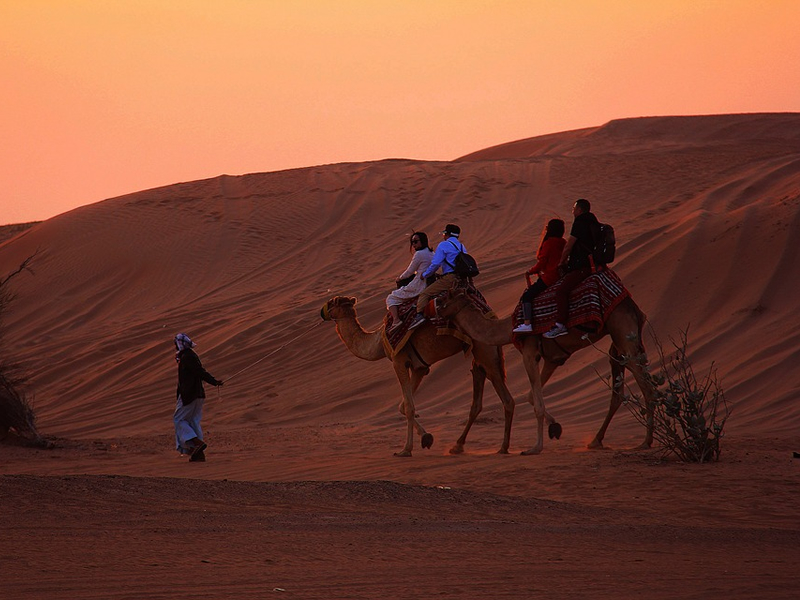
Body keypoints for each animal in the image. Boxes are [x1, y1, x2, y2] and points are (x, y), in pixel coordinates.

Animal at [318, 298, 556, 458]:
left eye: (331, 302)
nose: (321, 312)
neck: (377, 341)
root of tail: (494, 318)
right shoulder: (419, 367)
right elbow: (403, 405)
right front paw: (426, 438)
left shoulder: (399, 361)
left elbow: (409, 407)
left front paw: (405, 450)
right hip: (483, 358)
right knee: (491, 401)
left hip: (486, 354)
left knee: (507, 399)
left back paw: (504, 446)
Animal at [434, 288, 660, 452]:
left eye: (445, 298)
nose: (433, 308)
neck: (509, 328)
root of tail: (633, 306)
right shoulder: (554, 358)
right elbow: (531, 397)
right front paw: (555, 429)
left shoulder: (528, 352)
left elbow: (537, 404)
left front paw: (536, 447)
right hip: (619, 344)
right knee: (618, 391)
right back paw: (596, 440)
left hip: (622, 331)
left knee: (647, 388)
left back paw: (645, 442)